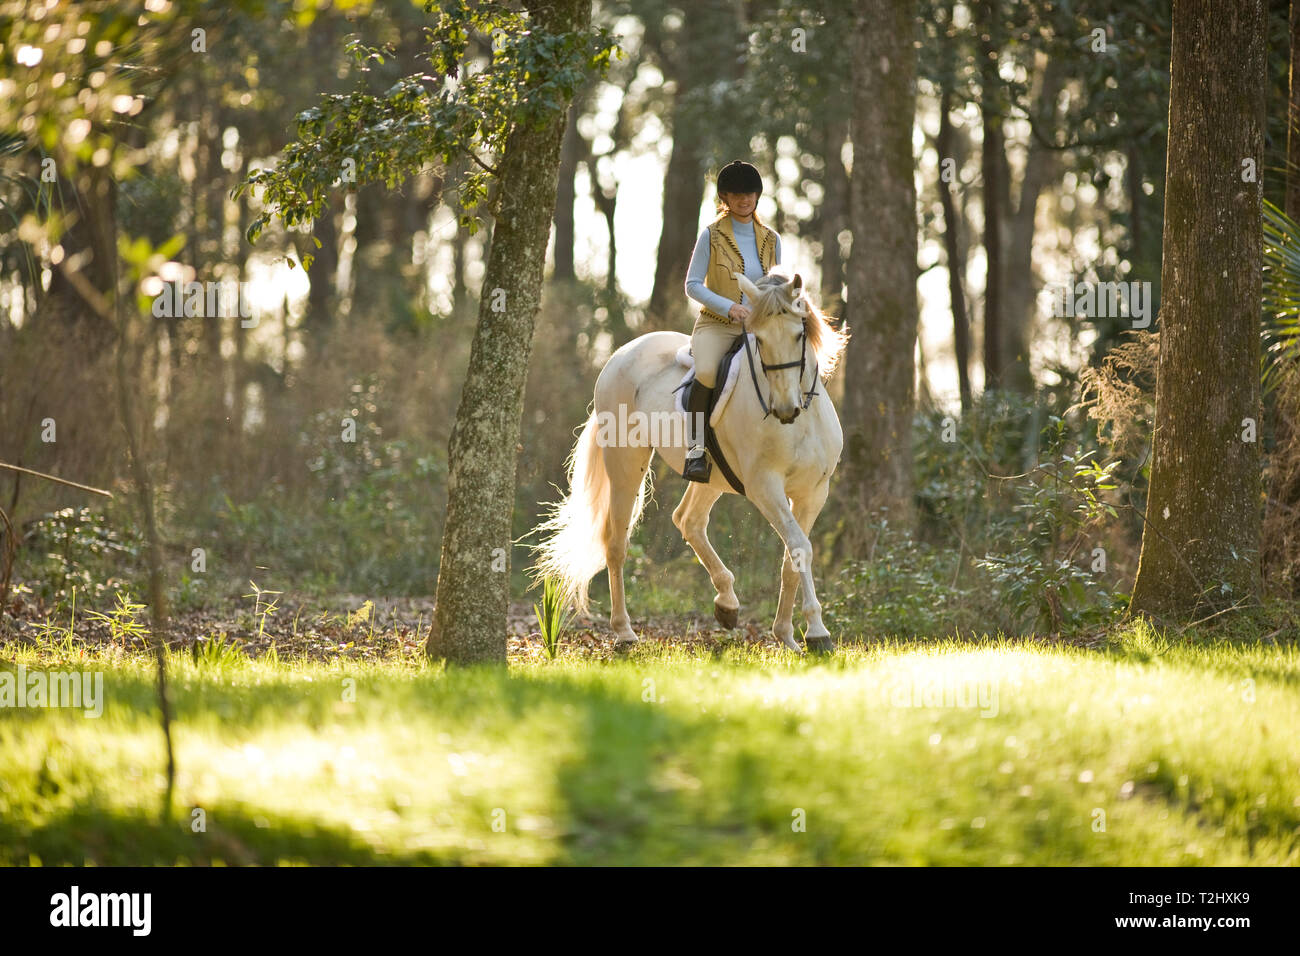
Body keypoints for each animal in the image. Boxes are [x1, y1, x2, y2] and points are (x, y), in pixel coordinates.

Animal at [533, 270, 849, 653]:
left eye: (799, 334)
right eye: (758, 340)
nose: (785, 409)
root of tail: (621, 353)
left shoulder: (814, 492)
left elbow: (793, 555)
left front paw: (787, 636)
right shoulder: (765, 488)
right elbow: (800, 546)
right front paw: (817, 632)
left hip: (711, 478)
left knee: (688, 520)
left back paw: (727, 604)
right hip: (626, 463)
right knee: (616, 542)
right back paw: (624, 632)